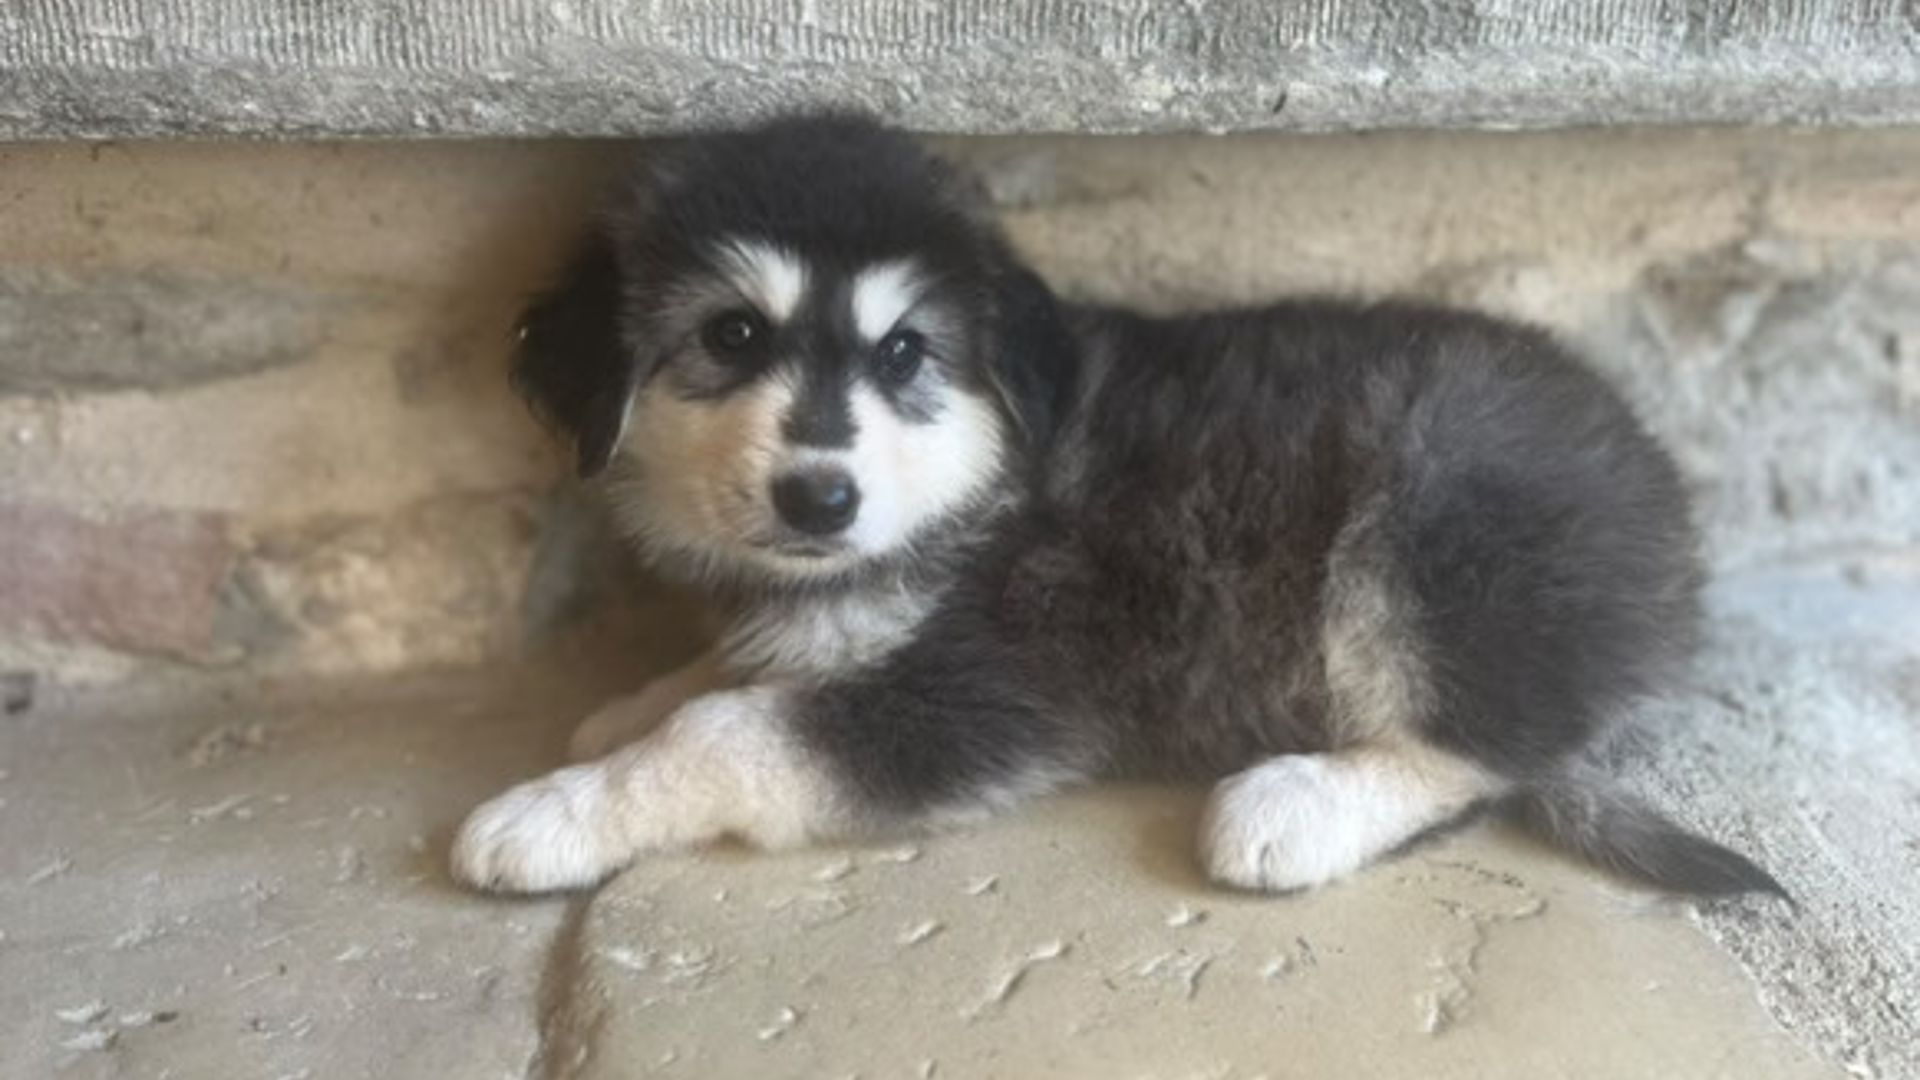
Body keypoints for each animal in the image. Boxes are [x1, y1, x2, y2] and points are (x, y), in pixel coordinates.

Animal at [452, 113, 1783, 900]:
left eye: (903, 354)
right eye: (732, 336)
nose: (820, 498)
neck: (982, 487)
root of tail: (1672, 520)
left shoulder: (991, 687)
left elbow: (726, 734)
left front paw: (549, 815)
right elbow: (729, 674)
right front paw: (628, 703)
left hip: (1429, 526)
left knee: (1482, 750)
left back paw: (1293, 808)